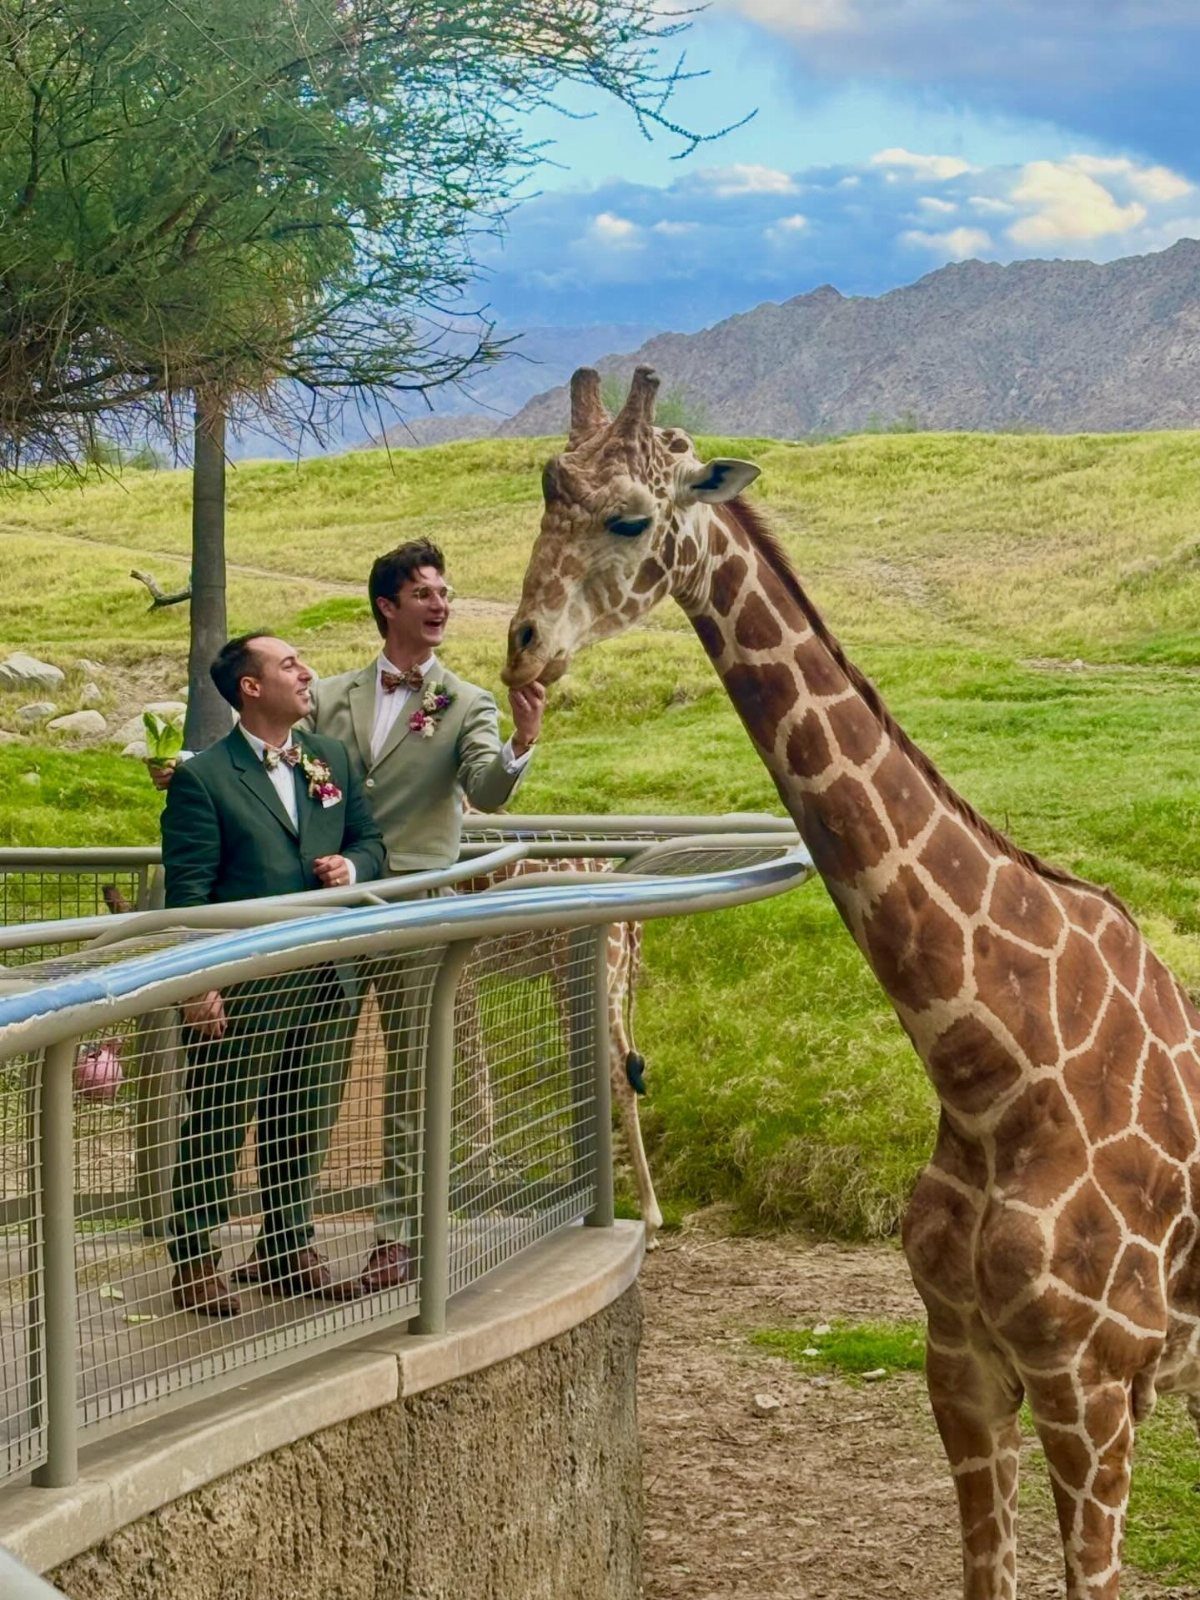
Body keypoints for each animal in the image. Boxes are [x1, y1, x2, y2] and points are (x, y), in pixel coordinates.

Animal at [499, 365, 1200, 1600]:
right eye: (545, 487)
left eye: (630, 517)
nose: (524, 647)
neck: (991, 1066)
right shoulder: (959, 1363)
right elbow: (985, 1577)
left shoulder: (1093, 1382)